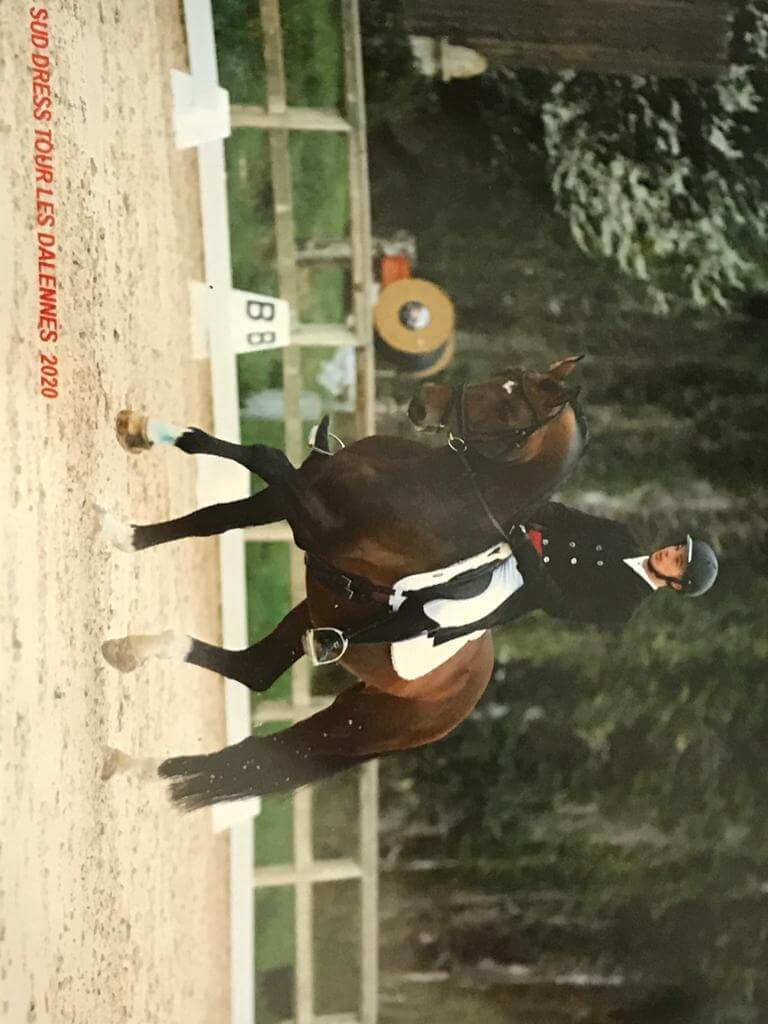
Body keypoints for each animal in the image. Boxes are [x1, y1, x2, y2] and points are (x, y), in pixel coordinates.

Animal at [98, 355, 586, 810]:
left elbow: (261, 454)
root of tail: (468, 699)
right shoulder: (293, 495)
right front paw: (127, 516)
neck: (441, 489)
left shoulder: (307, 515)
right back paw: (131, 661)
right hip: (317, 614)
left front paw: (142, 437)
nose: (423, 403)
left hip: (356, 725)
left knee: (264, 743)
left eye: (509, 408)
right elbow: (211, 516)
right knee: (254, 669)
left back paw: (131, 760)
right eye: (501, 376)